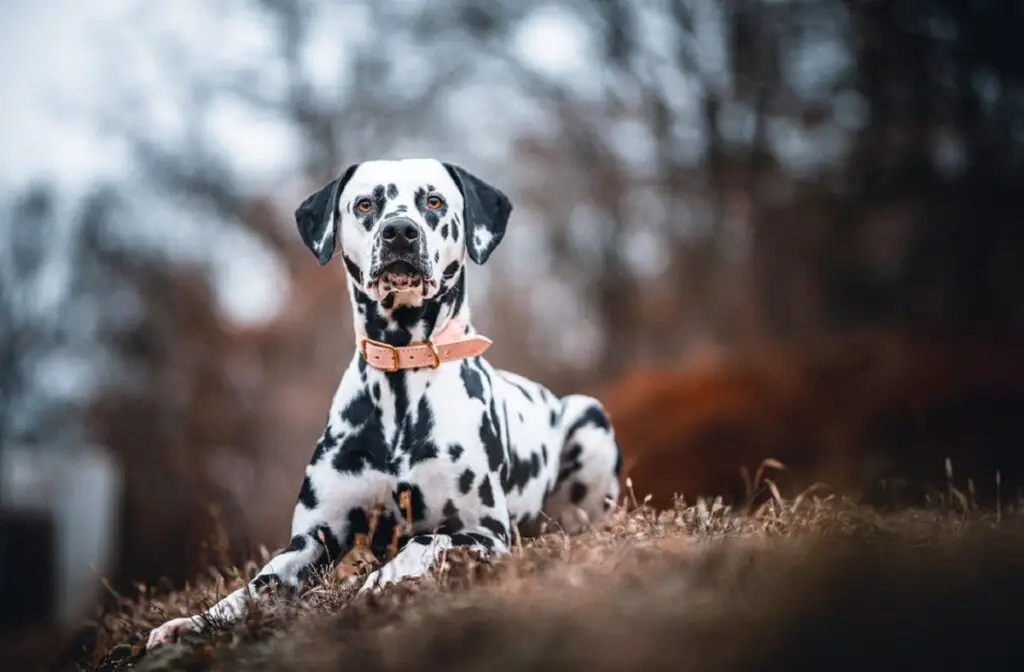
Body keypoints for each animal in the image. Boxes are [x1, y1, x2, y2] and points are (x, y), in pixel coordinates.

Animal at [147, 159, 618, 647]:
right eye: (365, 204)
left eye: (434, 201)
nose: (399, 232)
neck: (401, 379)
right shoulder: (313, 538)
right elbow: (256, 585)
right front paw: (194, 621)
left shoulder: (483, 532)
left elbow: (421, 543)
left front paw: (378, 584)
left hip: (589, 418)